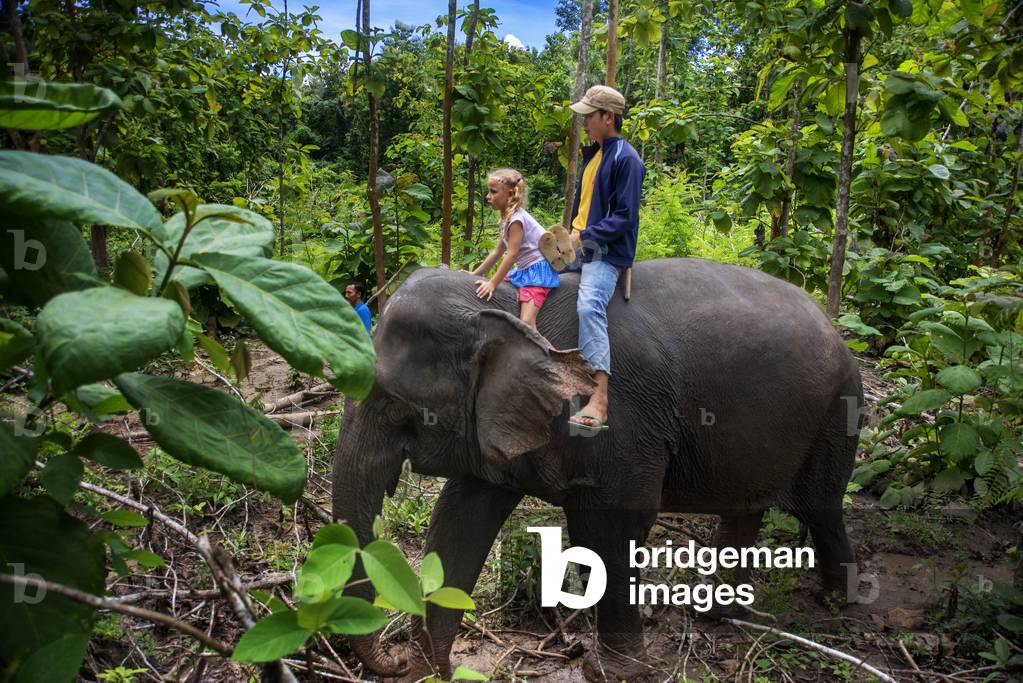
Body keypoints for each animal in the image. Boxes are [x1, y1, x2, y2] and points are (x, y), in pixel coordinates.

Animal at [331, 258, 863, 681]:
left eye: (394, 406)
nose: (394, 660)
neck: (509, 309)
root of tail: (836, 330)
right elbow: (460, 518)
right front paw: (427, 672)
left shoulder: (619, 420)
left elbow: (613, 524)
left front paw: (612, 672)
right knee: (746, 511)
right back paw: (716, 614)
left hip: (837, 414)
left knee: (821, 508)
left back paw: (838, 607)